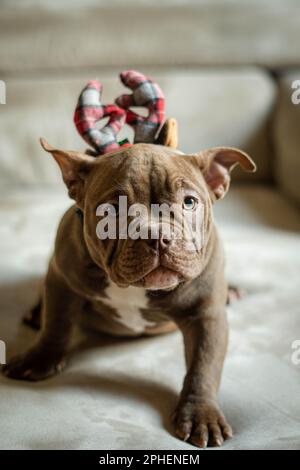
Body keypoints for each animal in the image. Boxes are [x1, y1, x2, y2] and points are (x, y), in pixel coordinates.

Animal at [2, 125, 255, 448]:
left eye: (189, 202)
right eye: (112, 210)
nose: (157, 235)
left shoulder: (206, 315)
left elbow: (203, 364)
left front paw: (201, 414)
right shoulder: (61, 279)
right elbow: (56, 324)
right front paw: (39, 359)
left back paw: (233, 291)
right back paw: (36, 313)